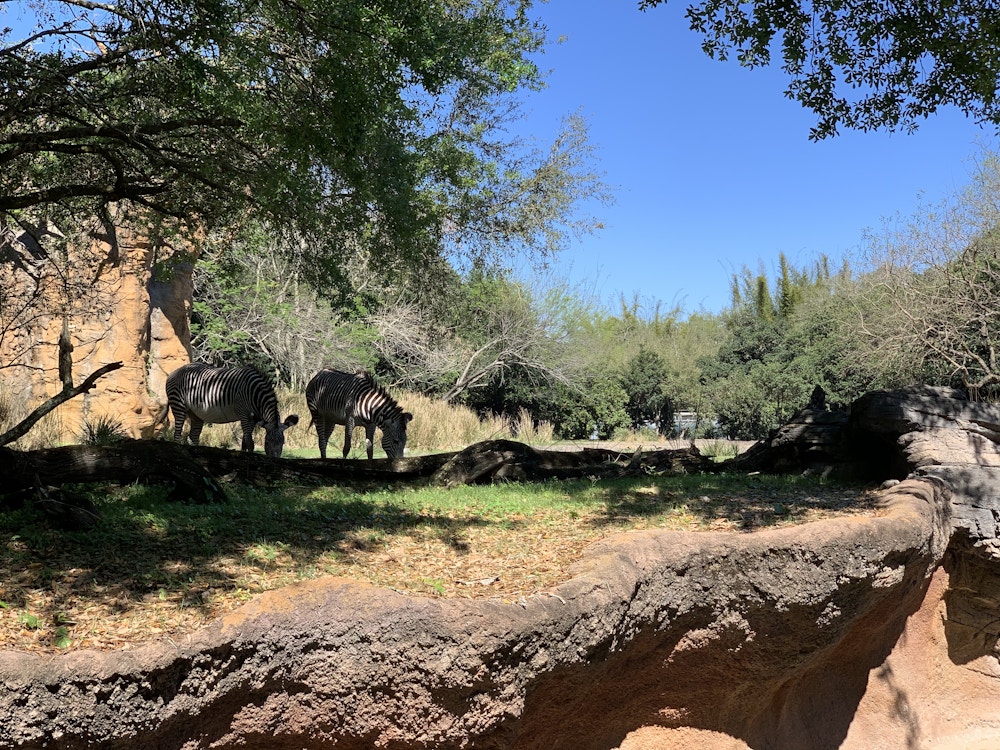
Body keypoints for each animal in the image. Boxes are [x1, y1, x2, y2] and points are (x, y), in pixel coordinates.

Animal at [155, 364, 296, 458]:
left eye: (283, 442)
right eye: (266, 442)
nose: (274, 460)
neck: (255, 394)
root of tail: (173, 372)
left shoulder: (252, 418)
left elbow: (245, 440)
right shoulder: (244, 414)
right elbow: (250, 442)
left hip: (195, 413)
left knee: (193, 437)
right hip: (179, 405)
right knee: (177, 434)